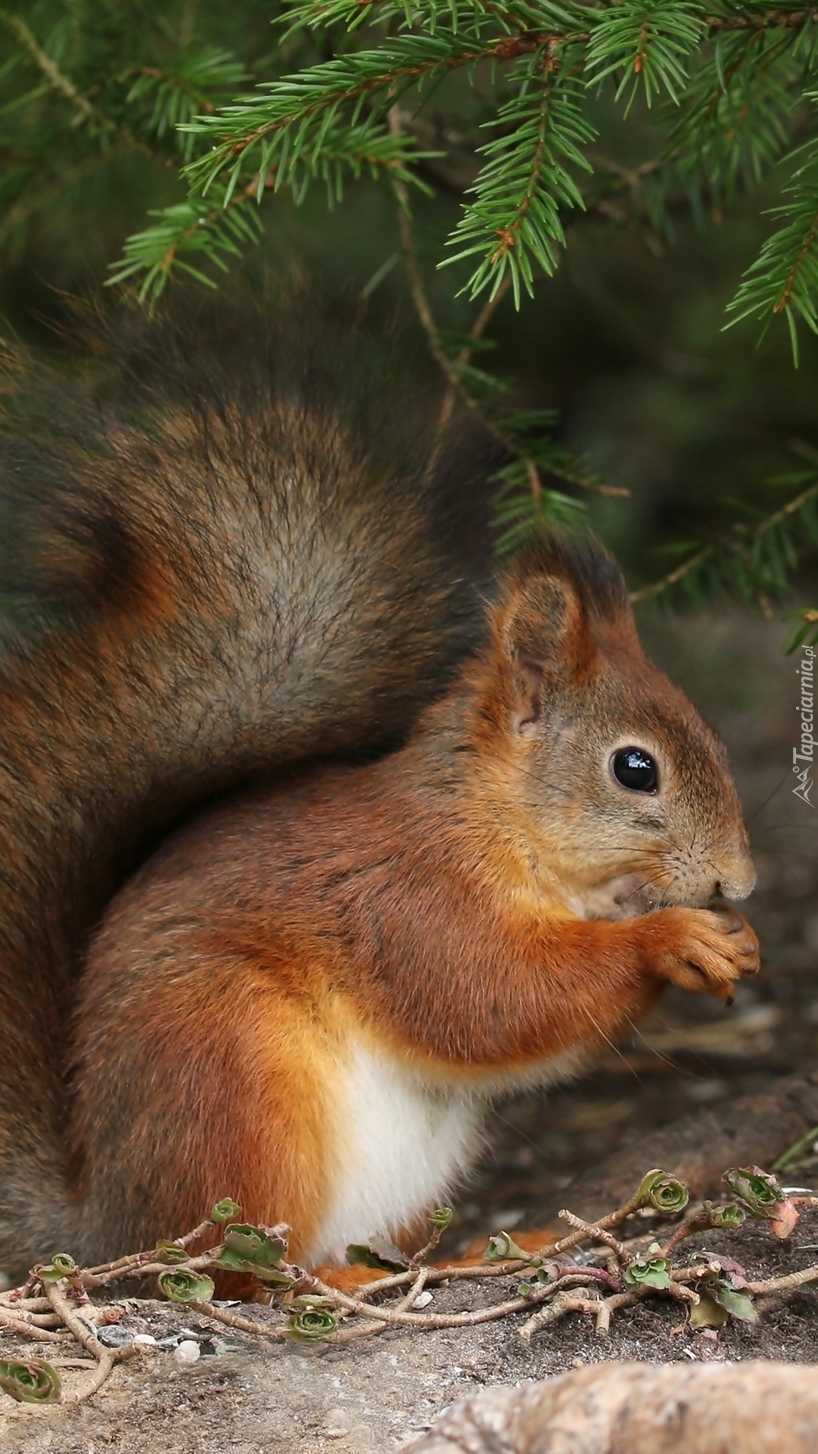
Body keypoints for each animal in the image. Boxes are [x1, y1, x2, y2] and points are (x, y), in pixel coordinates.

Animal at [0, 309, 761, 1285]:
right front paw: (670, 940)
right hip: (233, 1075)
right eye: (636, 769)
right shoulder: (406, 899)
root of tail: (105, 1224)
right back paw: (347, 1278)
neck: (496, 822)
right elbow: (489, 995)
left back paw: (481, 1252)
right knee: (236, 1272)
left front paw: (731, 939)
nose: (739, 883)